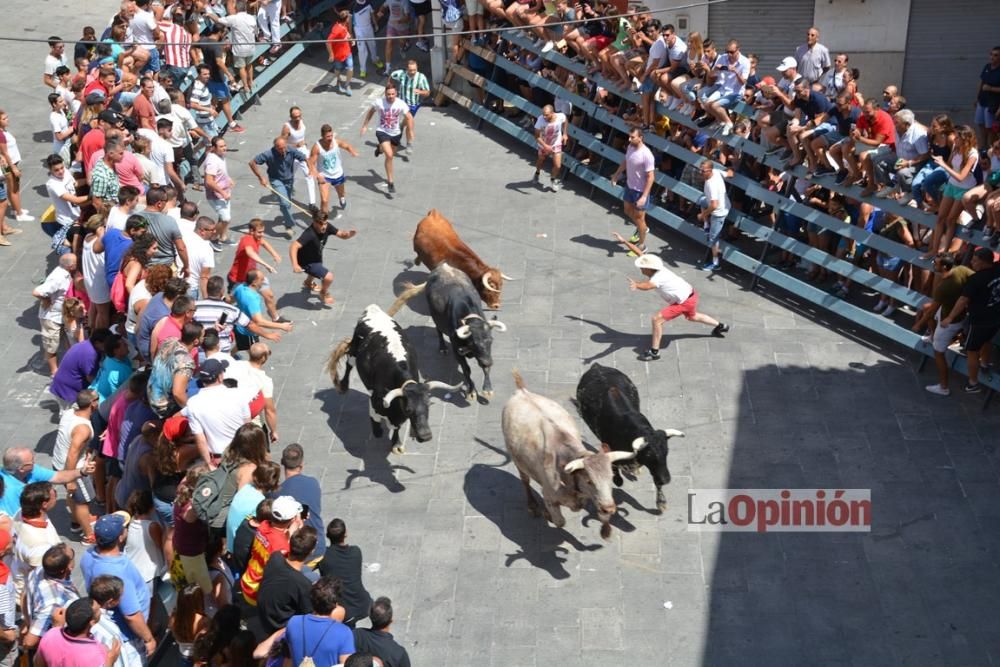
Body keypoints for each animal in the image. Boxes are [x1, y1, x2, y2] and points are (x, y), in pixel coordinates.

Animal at [328, 304, 460, 452]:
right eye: (408, 409)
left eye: (428, 405)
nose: (425, 436)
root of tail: (372, 309)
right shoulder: (376, 402)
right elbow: (376, 422)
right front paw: (378, 430)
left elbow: (397, 427)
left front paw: (396, 443)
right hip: (354, 351)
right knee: (349, 364)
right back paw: (343, 385)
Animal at [576, 366, 684, 512]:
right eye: (649, 455)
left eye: (667, 452)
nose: (666, 479)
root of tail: (597, 366)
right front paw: (617, 479)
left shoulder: (658, 469)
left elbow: (656, 479)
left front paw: (661, 502)